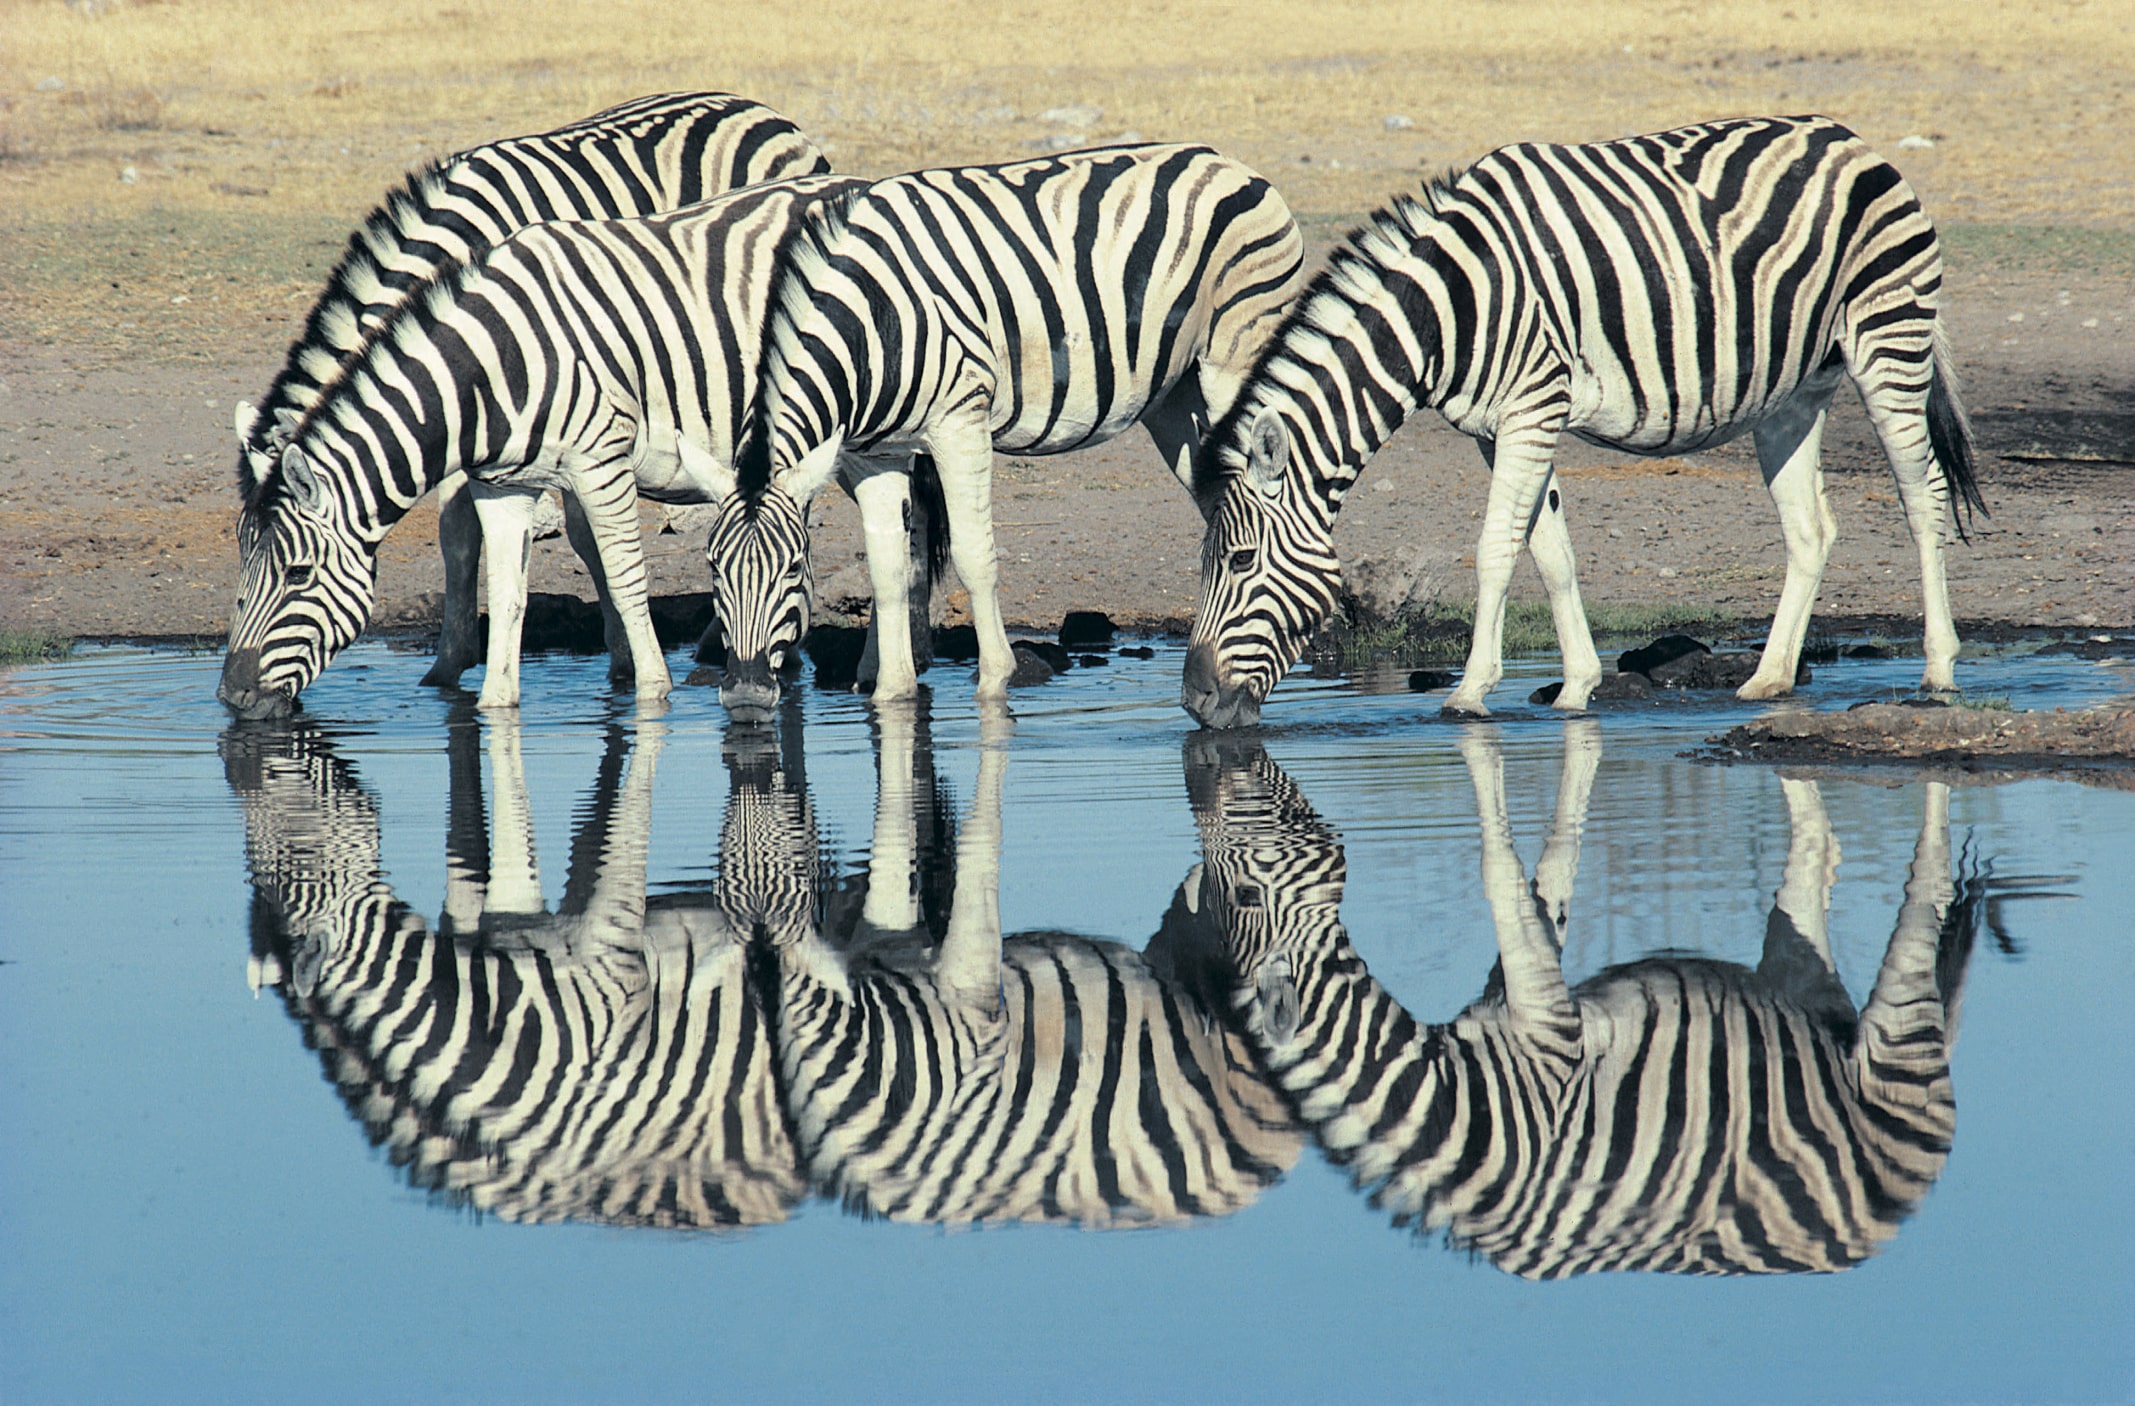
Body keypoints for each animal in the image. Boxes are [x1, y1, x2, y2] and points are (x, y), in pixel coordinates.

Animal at [218, 174, 948, 718]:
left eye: (297, 575)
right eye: (241, 570)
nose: (232, 697)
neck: (495, 364)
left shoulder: (600, 461)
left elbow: (624, 576)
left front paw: (651, 688)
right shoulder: (503, 482)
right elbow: (505, 586)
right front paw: (493, 701)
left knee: (903, 531)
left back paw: (882, 668)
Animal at [705, 143, 1305, 721]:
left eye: (792, 569)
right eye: (713, 568)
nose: (745, 696)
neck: (870, 326)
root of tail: (1230, 163)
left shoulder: (959, 421)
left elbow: (975, 557)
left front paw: (996, 681)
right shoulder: (872, 454)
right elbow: (887, 571)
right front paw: (893, 695)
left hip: (1235, 361)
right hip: (1175, 400)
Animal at [1180, 727, 1984, 1276]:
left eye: (1245, 892)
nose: (1212, 762)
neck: (1454, 1107)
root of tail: (1880, 1230)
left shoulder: (1549, 1032)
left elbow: (1500, 874)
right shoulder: (1515, 1006)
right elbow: (1532, 899)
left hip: (1895, 1036)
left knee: (1921, 907)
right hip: (1806, 999)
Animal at [1182, 115, 1986, 726]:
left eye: (1240, 562)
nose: (1194, 704)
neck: (1444, 311)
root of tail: (1854, 141)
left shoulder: (1532, 406)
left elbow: (1495, 550)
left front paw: (1469, 692)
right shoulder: (1497, 427)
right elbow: (1550, 552)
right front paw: (1576, 687)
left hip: (1888, 337)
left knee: (1921, 497)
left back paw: (1938, 671)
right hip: (1791, 393)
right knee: (1810, 529)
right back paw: (1768, 680)